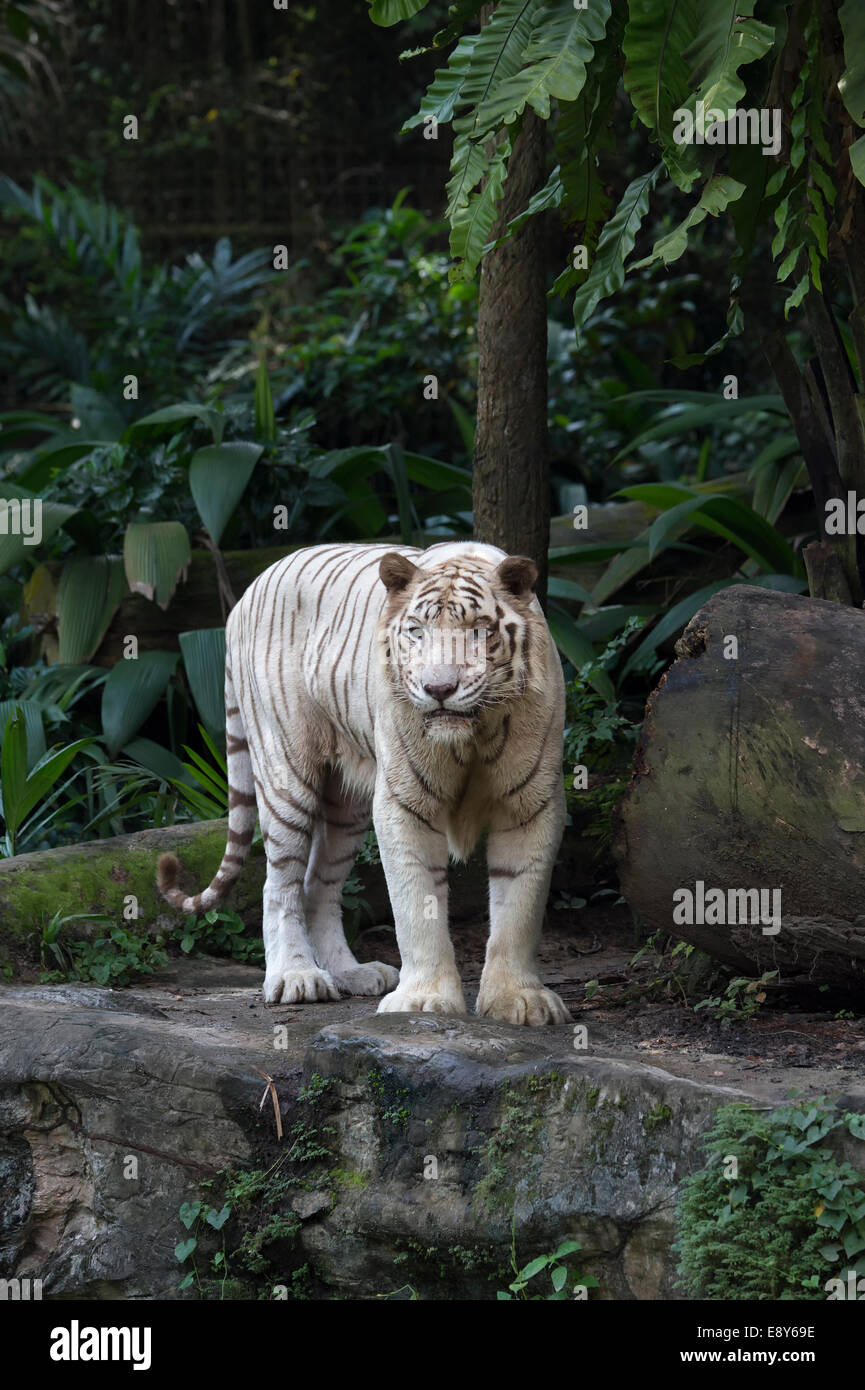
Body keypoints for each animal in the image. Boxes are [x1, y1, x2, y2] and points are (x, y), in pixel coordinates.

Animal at [158, 536, 572, 1028]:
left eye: (478, 631)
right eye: (416, 631)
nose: (438, 689)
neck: (471, 735)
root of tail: (248, 590)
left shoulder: (530, 803)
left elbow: (519, 909)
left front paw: (519, 1000)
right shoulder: (404, 802)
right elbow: (416, 904)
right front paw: (422, 999)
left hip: (346, 805)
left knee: (318, 886)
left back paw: (350, 974)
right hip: (285, 772)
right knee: (279, 884)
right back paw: (296, 977)